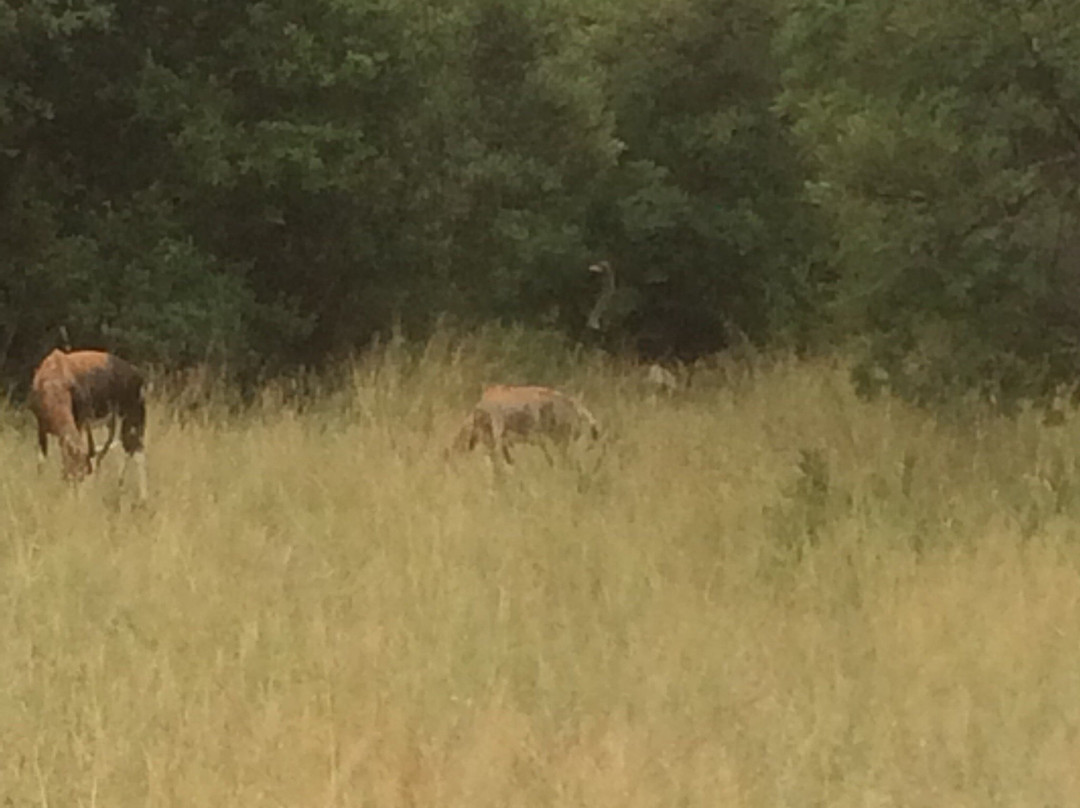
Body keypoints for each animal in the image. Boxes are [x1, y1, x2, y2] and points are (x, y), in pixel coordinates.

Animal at [29, 347, 149, 499]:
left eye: (82, 475)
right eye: (72, 475)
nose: (81, 499)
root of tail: (136, 373)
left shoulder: (79, 422)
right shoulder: (41, 428)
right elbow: (42, 461)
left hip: (132, 417)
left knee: (136, 450)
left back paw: (142, 497)